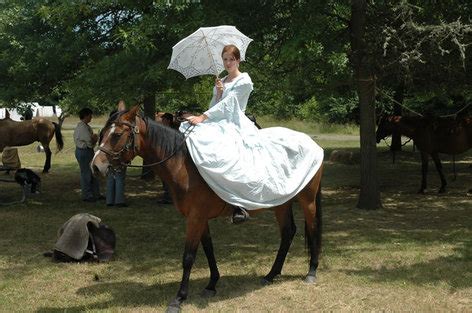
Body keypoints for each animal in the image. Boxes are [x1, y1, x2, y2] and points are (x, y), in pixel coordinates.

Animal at [90, 106, 322, 310]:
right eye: (101, 134)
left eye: (116, 135)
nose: (96, 167)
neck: (183, 164)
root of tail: (311, 143)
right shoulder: (199, 218)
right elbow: (208, 249)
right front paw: (212, 284)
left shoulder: (196, 218)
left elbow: (188, 257)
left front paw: (179, 298)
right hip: (281, 203)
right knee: (288, 232)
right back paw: (271, 274)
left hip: (307, 200)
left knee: (312, 230)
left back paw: (311, 272)